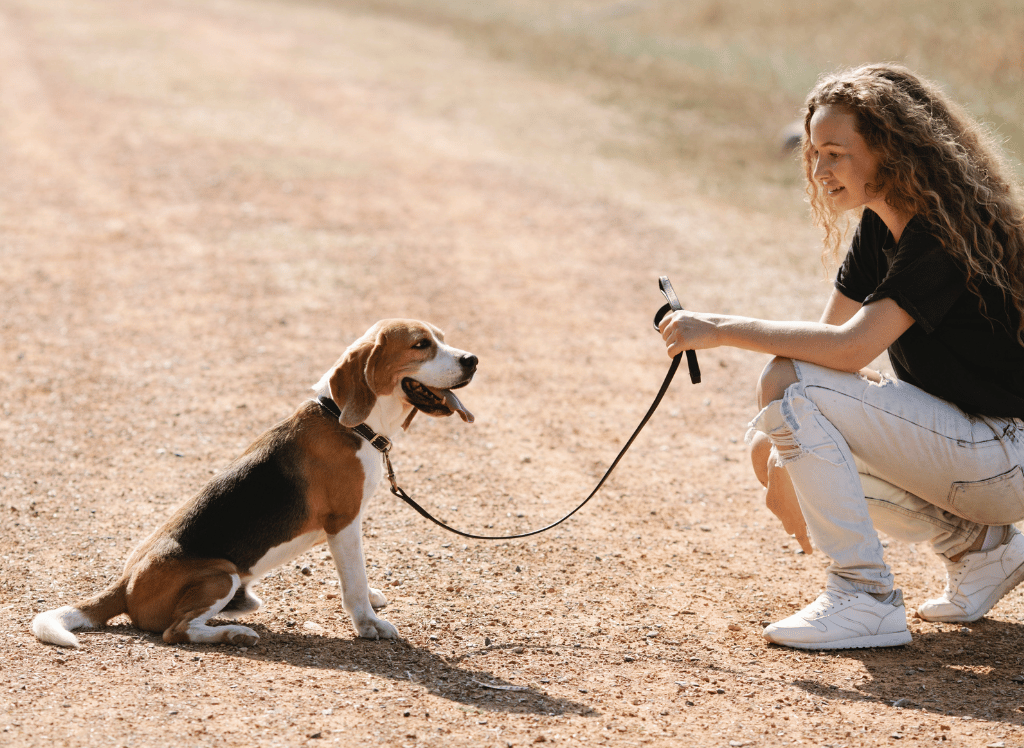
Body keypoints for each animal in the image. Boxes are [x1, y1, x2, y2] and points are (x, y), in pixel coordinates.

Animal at [32, 317, 477, 643]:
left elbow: (358, 577)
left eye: (442, 339)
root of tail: (124, 585)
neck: (346, 420)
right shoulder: (344, 523)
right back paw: (232, 634)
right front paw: (368, 624)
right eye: (421, 345)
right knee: (178, 632)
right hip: (221, 574)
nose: (472, 359)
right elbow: (354, 579)